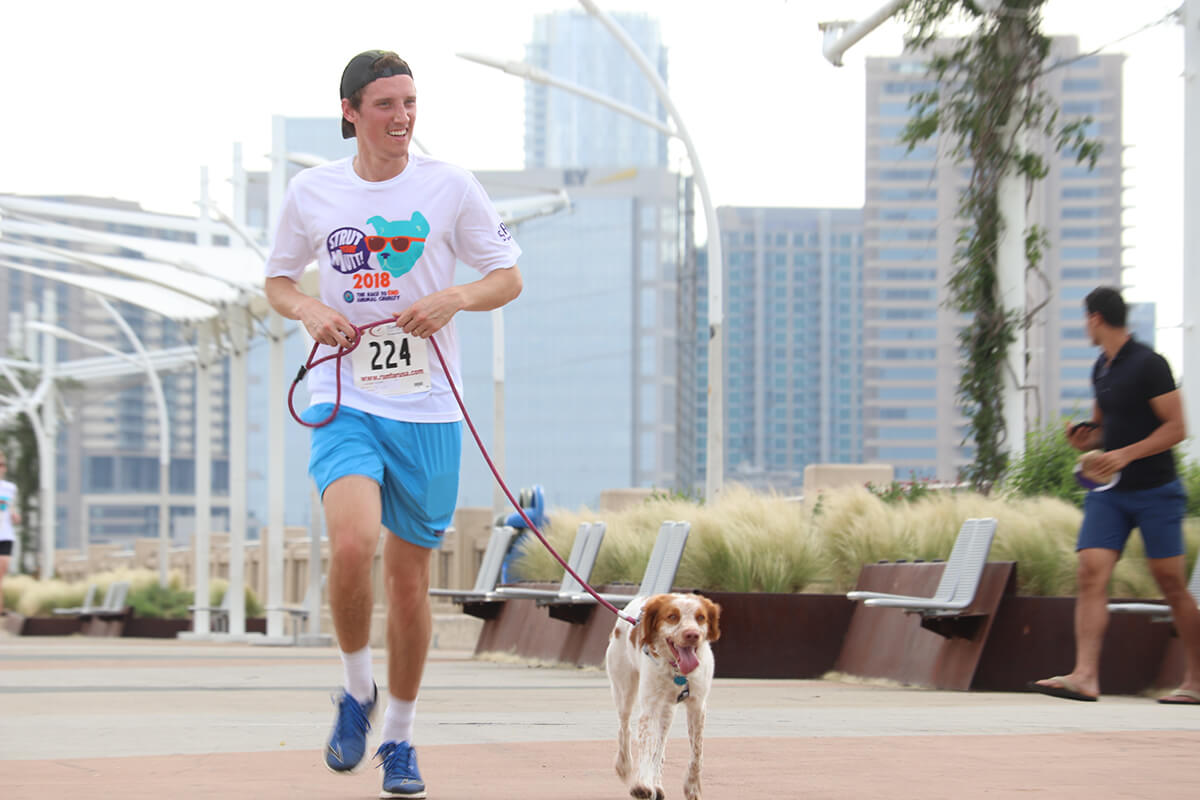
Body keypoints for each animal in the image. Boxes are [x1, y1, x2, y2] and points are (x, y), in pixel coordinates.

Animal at [604, 592, 715, 796]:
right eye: (672, 616)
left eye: (700, 617)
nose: (692, 635)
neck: (677, 671)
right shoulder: (650, 706)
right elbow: (646, 747)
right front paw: (642, 784)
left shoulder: (697, 706)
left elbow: (697, 752)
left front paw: (692, 786)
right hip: (624, 689)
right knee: (624, 728)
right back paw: (624, 765)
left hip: (667, 711)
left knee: (660, 747)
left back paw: (656, 783)